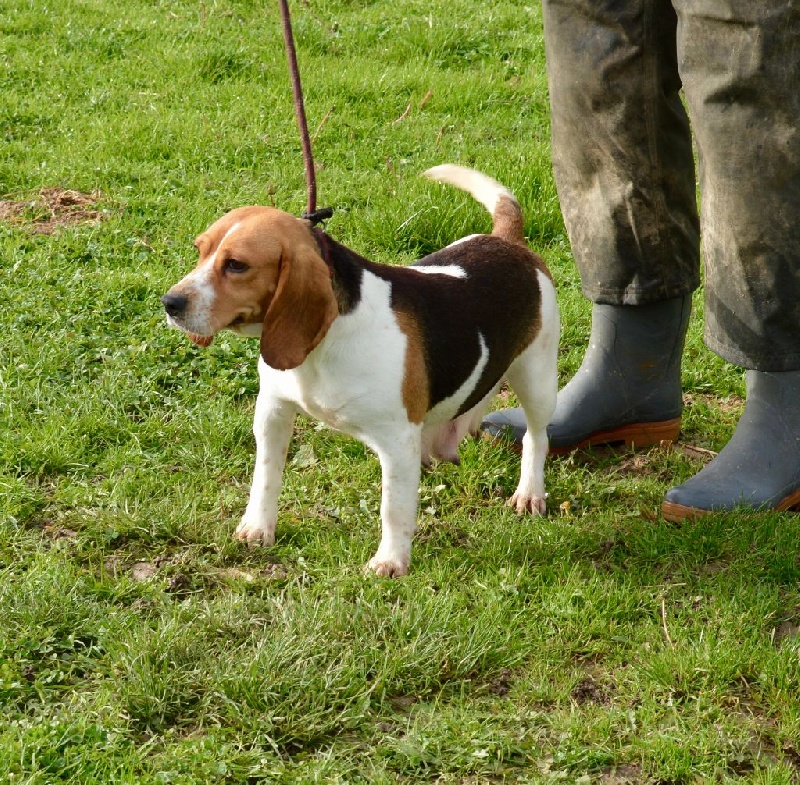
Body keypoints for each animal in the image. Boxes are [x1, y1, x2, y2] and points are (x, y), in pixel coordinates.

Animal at [161, 165, 559, 576]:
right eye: (200, 251)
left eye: (237, 265)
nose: (169, 302)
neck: (324, 343)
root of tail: (508, 242)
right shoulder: (272, 411)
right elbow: (266, 477)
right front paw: (258, 528)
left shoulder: (396, 440)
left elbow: (393, 509)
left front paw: (391, 561)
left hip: (537, 379)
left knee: (536, 437)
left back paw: (529, 492)